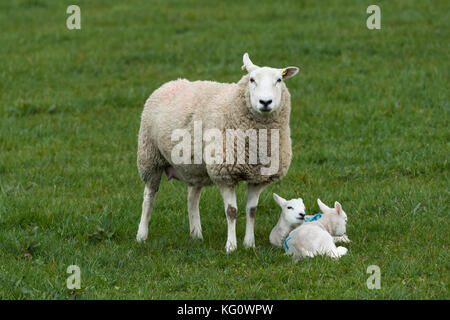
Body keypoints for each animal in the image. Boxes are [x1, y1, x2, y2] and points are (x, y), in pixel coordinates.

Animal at [135, 53, 300, 252]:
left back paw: (196, 234)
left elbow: (252, 210)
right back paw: (142, 235)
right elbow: (231, 211)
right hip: (150, 157)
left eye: (279, 80)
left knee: (192, 198)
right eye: (252, 80)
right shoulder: (224, 173)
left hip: (195, 167)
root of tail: (171, 82)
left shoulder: (258, 177)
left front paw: (249, 244)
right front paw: (231, 246)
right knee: (149, 197)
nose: (265, 102)